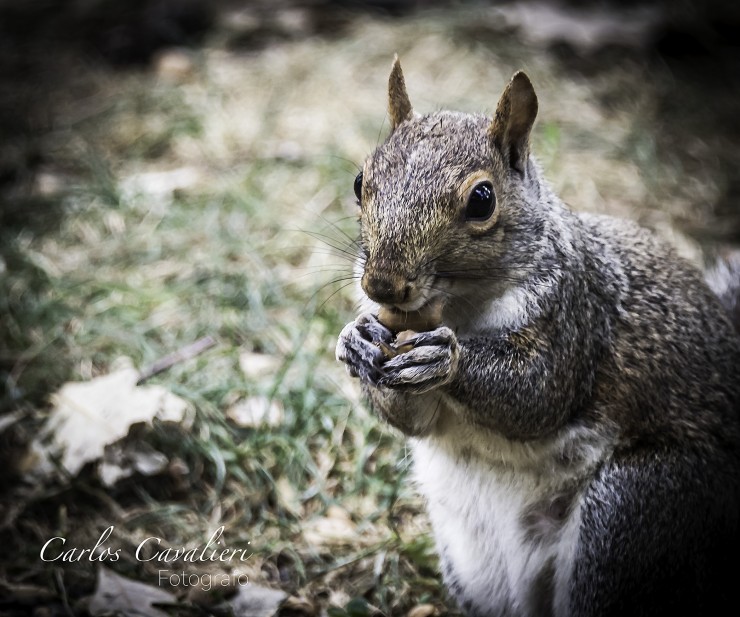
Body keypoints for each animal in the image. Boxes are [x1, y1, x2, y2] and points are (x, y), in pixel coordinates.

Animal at [336, 57, 740, 616]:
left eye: (482, 200)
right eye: (360, 181)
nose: (382, 285)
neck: (459, 307)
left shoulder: (574, 312)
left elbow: (538, 393)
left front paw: (445, 359)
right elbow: (414, 418)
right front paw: (357, 340)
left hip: (631, 512)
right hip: (476, 560)